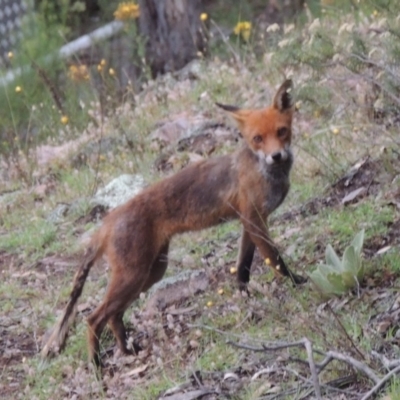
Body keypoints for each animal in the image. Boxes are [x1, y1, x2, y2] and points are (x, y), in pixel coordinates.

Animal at [42, 79, 306, 368]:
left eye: (281, 131)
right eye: (257, 138)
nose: (276, 156)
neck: (265, 172)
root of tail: (106, 222)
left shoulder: (250, 223)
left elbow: (243, 268)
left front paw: (245, 297)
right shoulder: (255, 221)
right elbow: (276, 261)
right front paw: (297, 284)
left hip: (151, 272)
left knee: (113, 316)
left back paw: (127, 350)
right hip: (134, 275)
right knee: (93, 318)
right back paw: (97, 365)